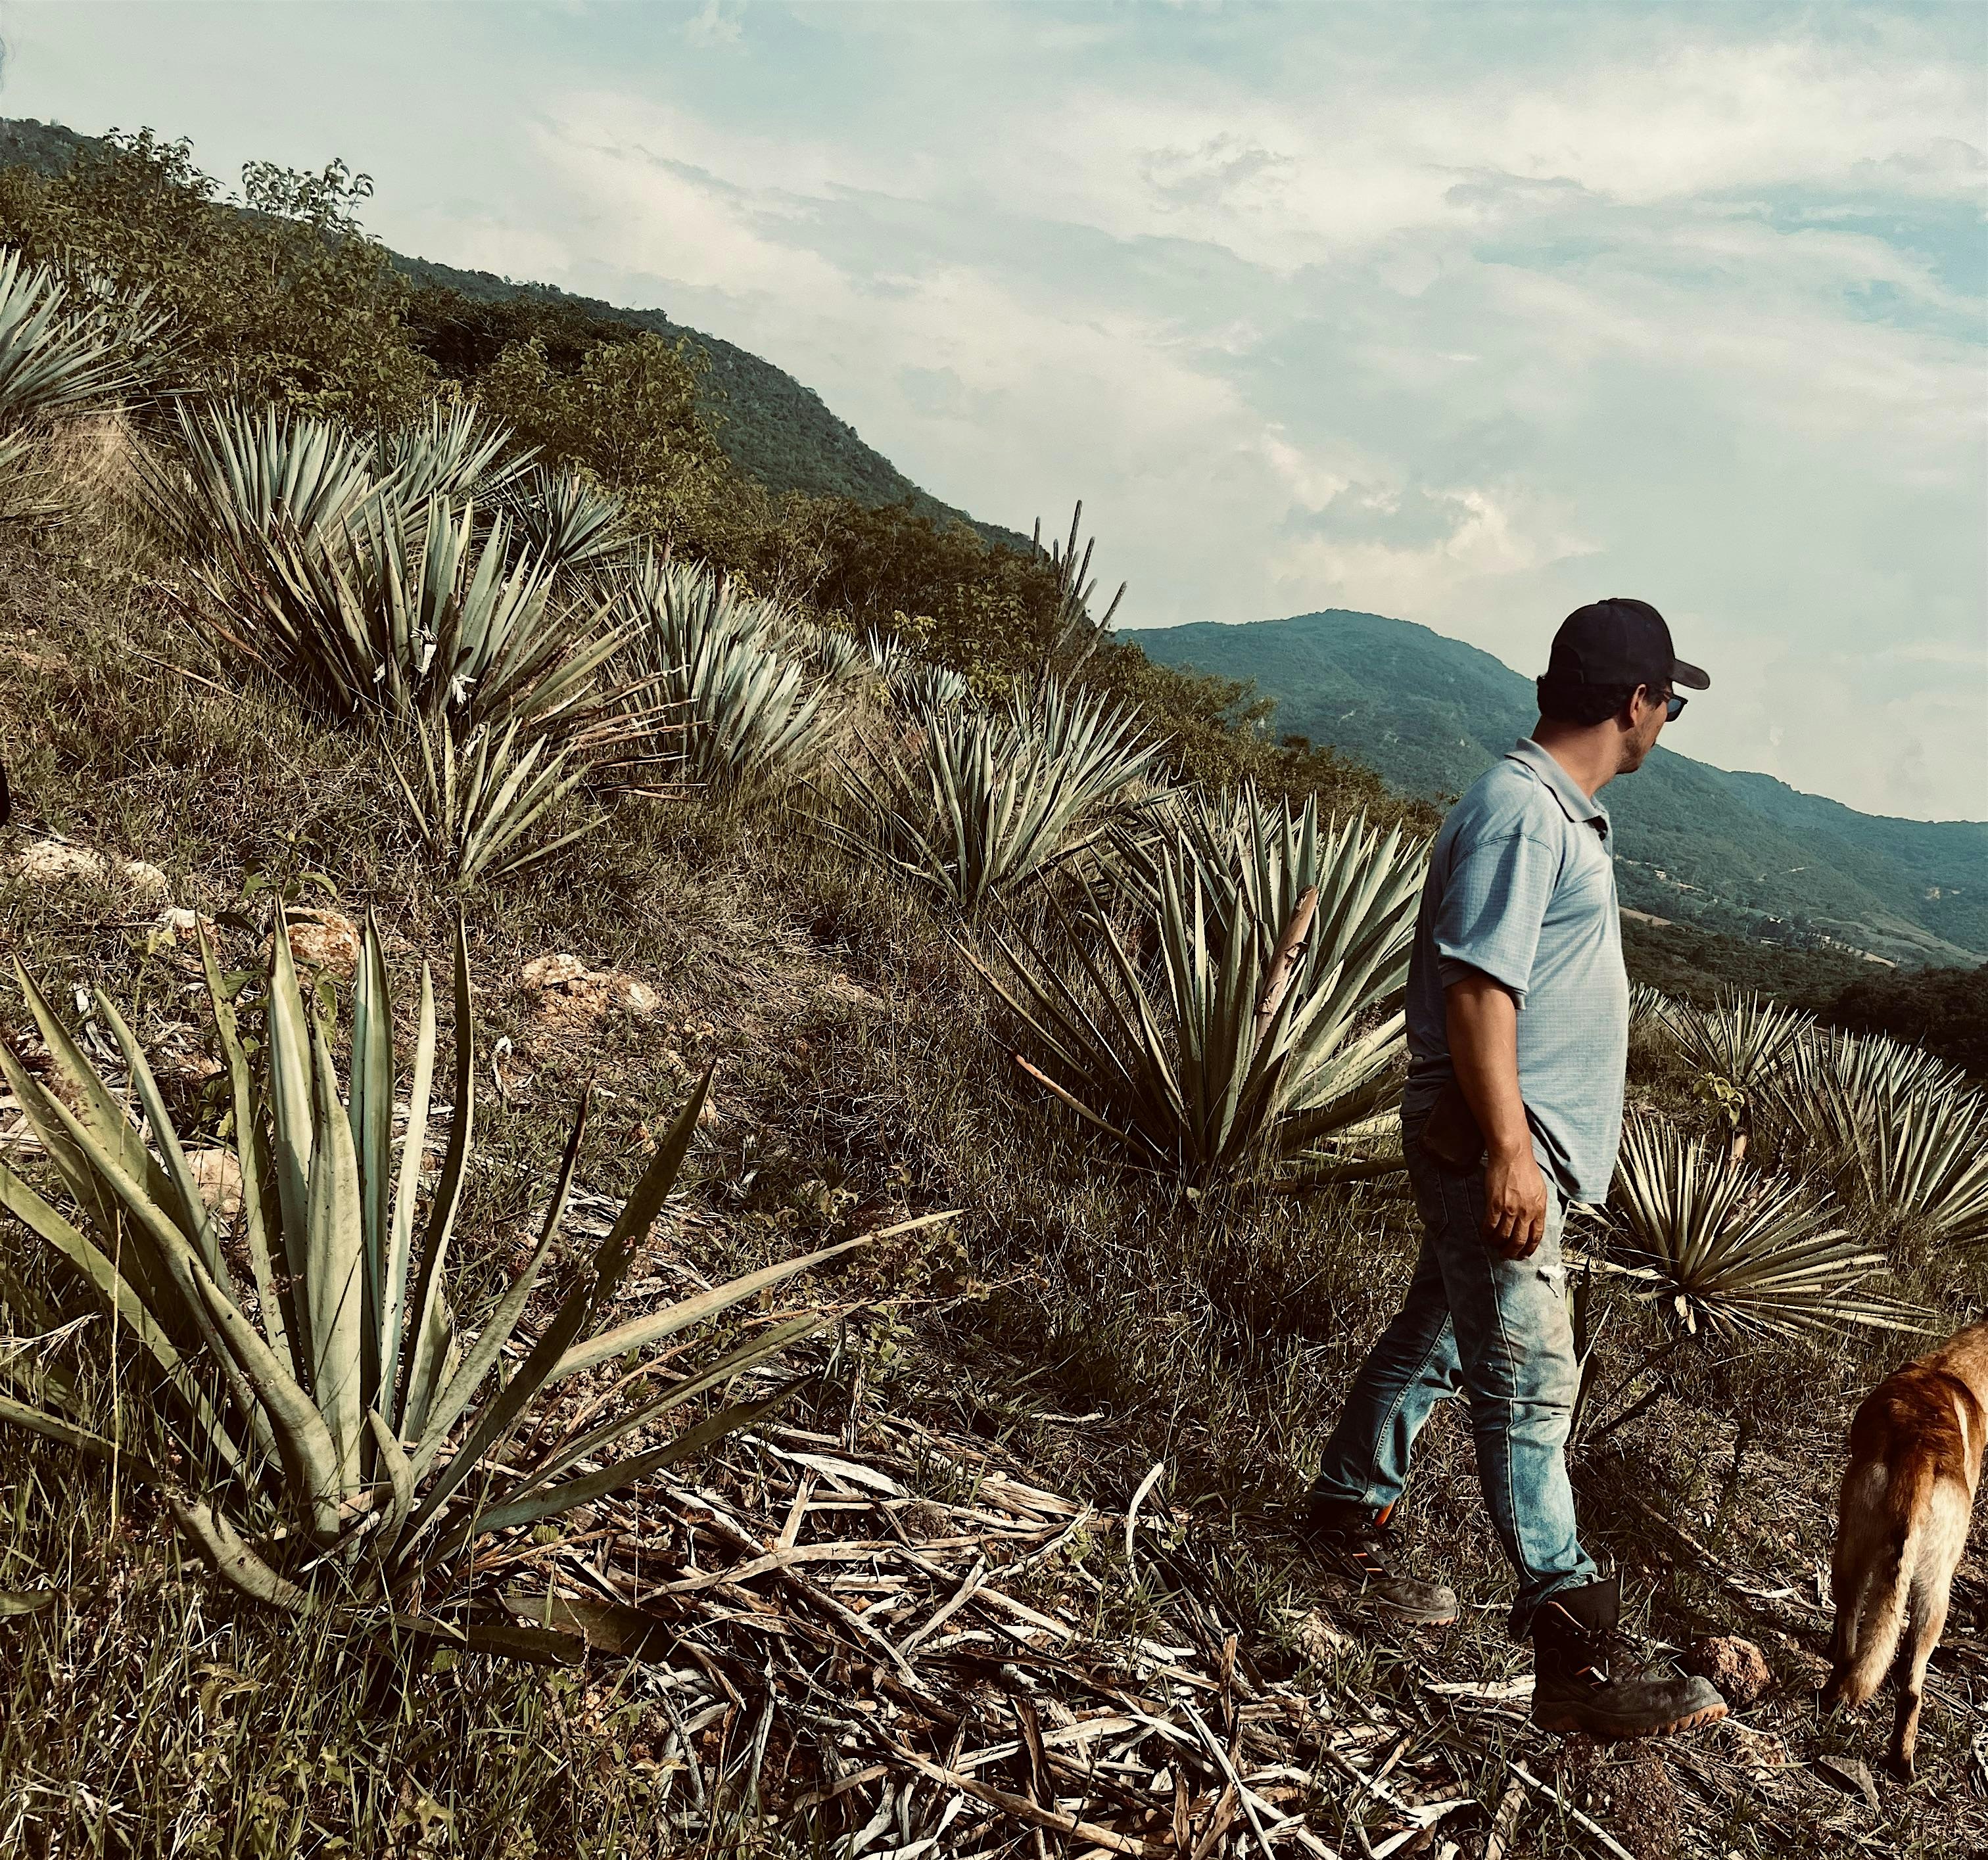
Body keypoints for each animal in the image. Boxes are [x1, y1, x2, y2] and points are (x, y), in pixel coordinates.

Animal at [1820, 1311, 1979, 1780]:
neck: (1953, 1370)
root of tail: (1919, 1450)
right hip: (1933, 1591)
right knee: (1907, 1683)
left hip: (1854, 1554)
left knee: (1854, 1645)